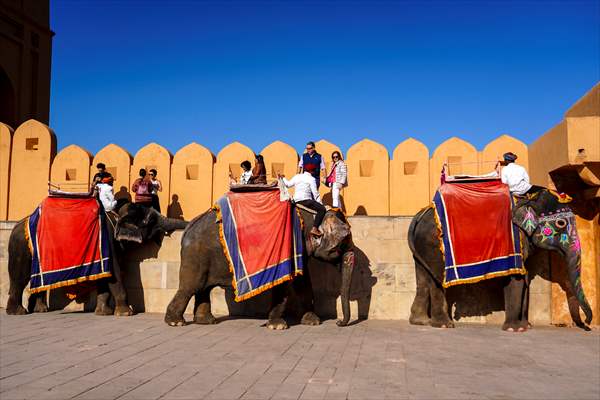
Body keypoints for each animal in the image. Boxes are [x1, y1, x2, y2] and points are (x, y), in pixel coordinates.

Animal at [5, 202, 186, 318]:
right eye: (150, 221)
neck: (116, 214)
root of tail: (15, 226)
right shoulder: (108, 240)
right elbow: (114, 274)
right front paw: (126, 313)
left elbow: (105, 276)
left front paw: (103, 313)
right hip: (20, 247)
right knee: (19, 279)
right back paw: (17, 312)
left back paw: (40, 310)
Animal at [164, 206, 354, 328]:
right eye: (339, 247)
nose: (338, 322)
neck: (311, 218)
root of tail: (189, 225)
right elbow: (284, 283)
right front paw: (278, 326)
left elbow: (303, 283)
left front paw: (313, 322)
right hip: (196, 255)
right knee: (190, 287)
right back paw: (176, 322)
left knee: (203, 288)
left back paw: (207, 321)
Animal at [406, 189, 592, 332]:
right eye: (561, 223)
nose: (587, 323)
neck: (526, 199)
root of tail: (419, 214)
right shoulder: (514, 241)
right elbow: (516, 278)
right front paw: (515, 329)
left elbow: (525, 278)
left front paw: (526, 326)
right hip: (434, 246)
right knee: (437, 280)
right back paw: (444, 325)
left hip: (421, 247)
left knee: (423, 278)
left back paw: (421, 321)